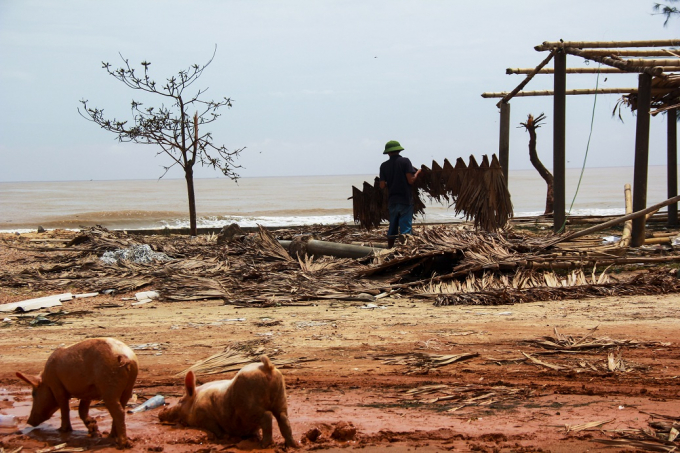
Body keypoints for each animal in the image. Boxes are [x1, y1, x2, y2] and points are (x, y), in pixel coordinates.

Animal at [161, 354, 298, 446]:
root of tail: (267, 366)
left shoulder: (206, 417)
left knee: (267, 417)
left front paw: (225, 437)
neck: (195, 401)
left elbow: (216, 429)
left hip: (249, 405)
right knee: (283, 417)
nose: (161, 412)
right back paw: (293, 445)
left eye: (180, 401)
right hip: (281, 396)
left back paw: (264, 444)